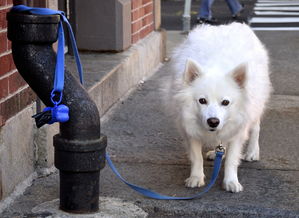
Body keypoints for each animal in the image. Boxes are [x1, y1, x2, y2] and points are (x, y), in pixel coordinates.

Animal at [168, 22, 274, 192]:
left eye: (225, 102)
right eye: (202, 101)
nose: (213, 121)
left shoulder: (238, 130)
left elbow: (232, 159)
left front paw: (231, 182)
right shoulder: (189, 128)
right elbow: (196, 157)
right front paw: (196, 177)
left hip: (257, 104)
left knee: (255, 128)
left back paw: (252, 152)